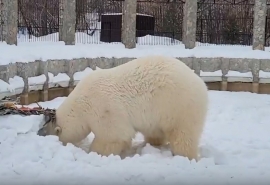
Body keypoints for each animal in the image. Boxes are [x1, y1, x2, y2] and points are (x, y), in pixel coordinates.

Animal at [37, 55, 208, 160]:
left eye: (49, 132)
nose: (39, 133)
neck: (81, 103)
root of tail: (200, 83)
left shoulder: (104, 109)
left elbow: (113, 136)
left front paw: (95, 152)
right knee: (155, 131)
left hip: (179, 106)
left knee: (183, 135)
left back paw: (184, 155)